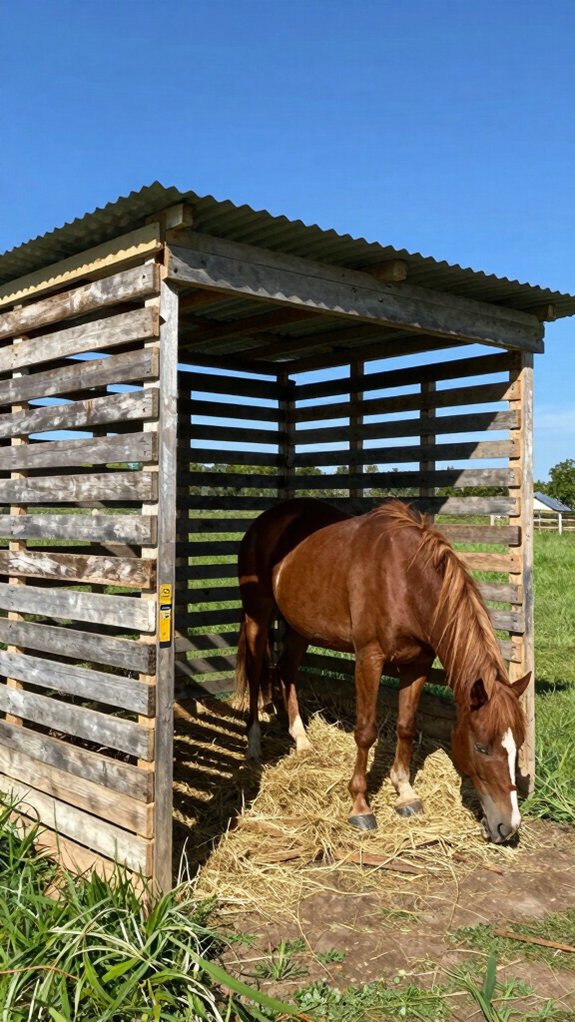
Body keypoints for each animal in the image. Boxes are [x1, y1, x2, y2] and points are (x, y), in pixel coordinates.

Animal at [235, 498, 530, 844]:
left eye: (517, 745)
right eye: (481, 747)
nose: (507, 826)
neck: (404, 579)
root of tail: (264, 520)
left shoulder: (418, 663)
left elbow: (406, 726)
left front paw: (405, 793)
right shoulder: (369, 658)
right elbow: (365, 733)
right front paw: (360, 806)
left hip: (300, 627)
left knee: (286, 669)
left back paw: (302, 740)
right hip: (257, 614)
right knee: (256, 672)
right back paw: (254, 743)